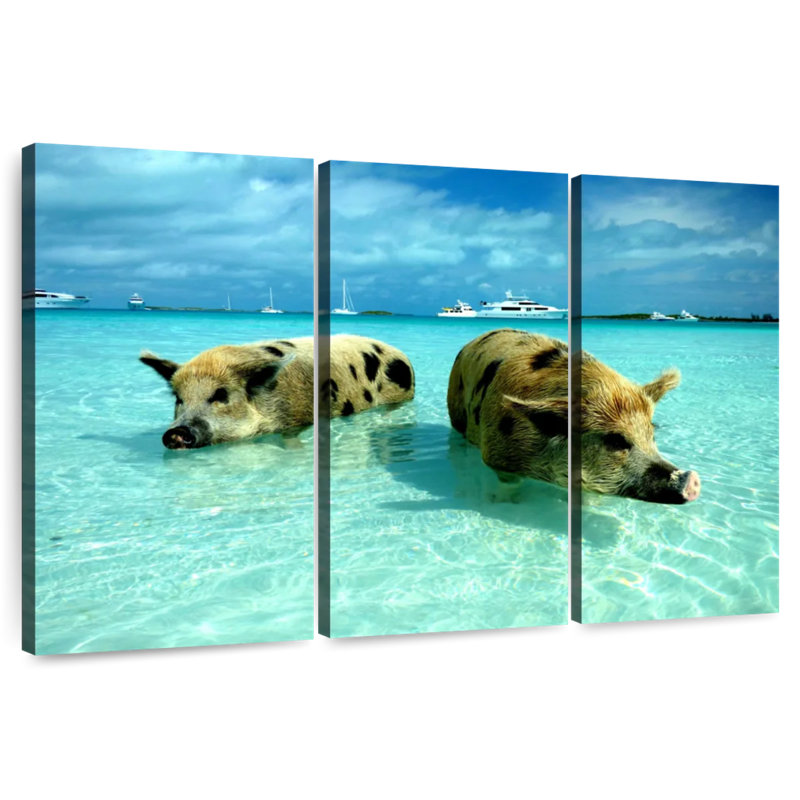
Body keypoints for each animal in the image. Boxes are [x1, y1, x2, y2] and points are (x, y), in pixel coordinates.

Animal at [447, 328, 700, 504]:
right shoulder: (496, 453)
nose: (691, 478)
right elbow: (509, 483)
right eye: (616, 440)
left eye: (652, 434)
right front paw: (504, 503)